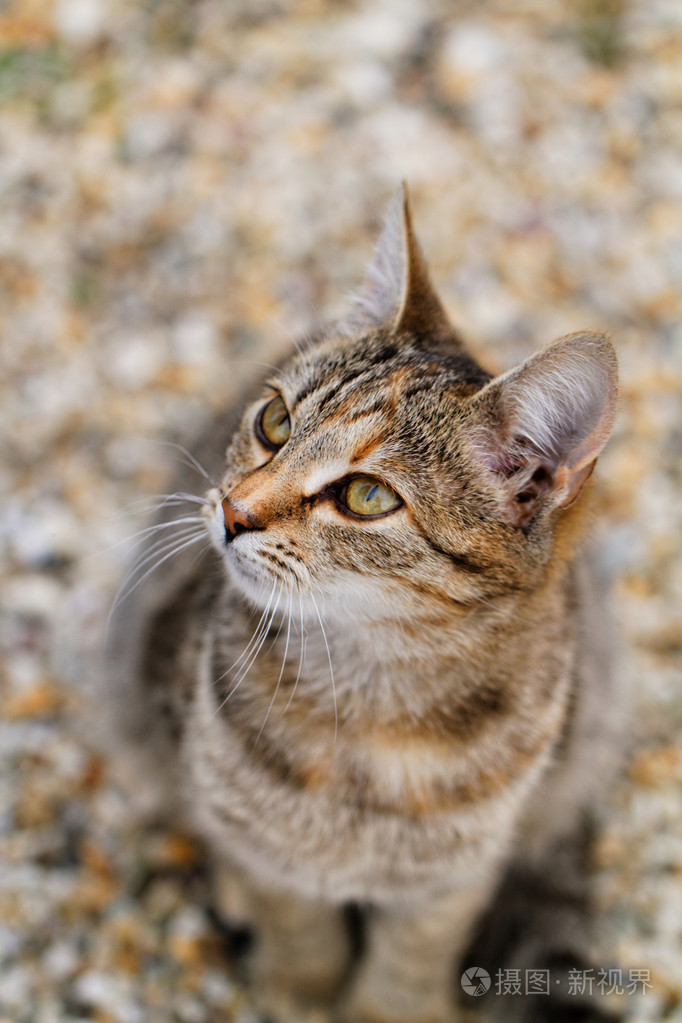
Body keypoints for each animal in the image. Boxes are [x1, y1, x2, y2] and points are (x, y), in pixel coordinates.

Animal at [106, 186, 625, 1023]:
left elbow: (409, 959)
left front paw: (385, 1006)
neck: (372, 703)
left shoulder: (455, 874)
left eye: (366, 496)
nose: (233, 511)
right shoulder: (254, 833)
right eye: (274, 422)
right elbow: (292, 919)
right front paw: (302, 991)